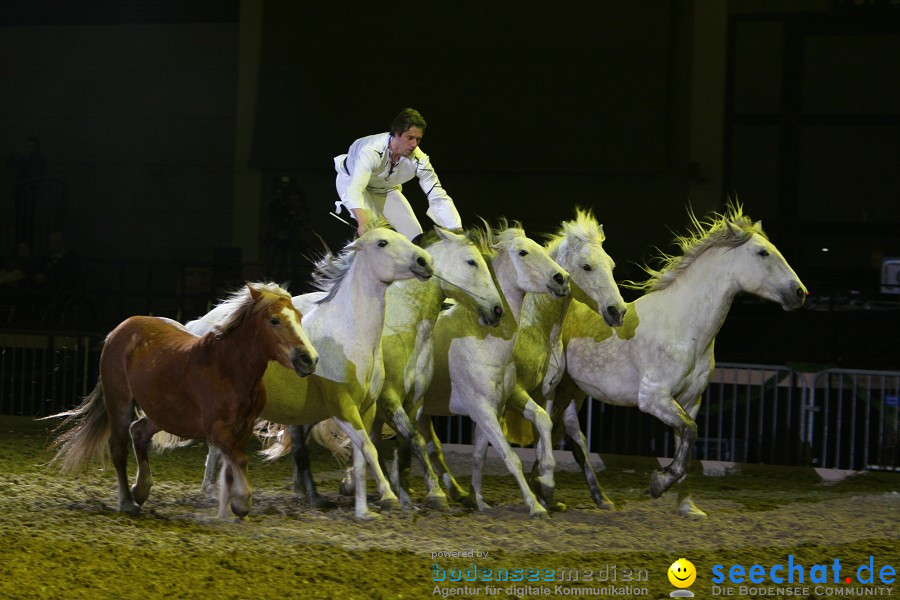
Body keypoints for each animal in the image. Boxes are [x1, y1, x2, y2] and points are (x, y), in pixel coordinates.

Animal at [47, 284, 320, 516]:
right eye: (274, 320)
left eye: (298, 317)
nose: (309, 359)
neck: (228, 368)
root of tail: (119, 330)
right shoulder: (216, 429)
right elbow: (239, 459)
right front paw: (242, 502)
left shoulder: (244, 427)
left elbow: (234, 462)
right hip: (120, 402)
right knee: (118, 447)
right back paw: (127, 501)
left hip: (163, 412)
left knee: (139, 432)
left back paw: (141, 490)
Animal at [188, 220, 434, 520]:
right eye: (382, 243)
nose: (425, 261)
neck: (350, 336)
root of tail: (197, 326)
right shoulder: (342, 408)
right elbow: (369, 449)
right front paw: (389, 497)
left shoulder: (366, 409)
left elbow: (362, 456)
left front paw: (364, 511)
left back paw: (216, 493)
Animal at [416, 220, 568, 516]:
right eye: (523, 252)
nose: (562, 278)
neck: (483, 340)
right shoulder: (481, 408)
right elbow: (510, 456)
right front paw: (535, 505)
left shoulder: (502, 402)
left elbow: (483, 454)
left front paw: (480, 500)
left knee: (427, 445)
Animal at [556, 206, 808, 516]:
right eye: (763, 253)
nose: (800, 292)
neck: (685, 328)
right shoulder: (654, 397)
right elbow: (690, 432)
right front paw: (658, 484)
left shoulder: (689, 400)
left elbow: (686, 445)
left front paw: (688, 507)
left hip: (572, 390)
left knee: (569, 432)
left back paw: (594, 497)